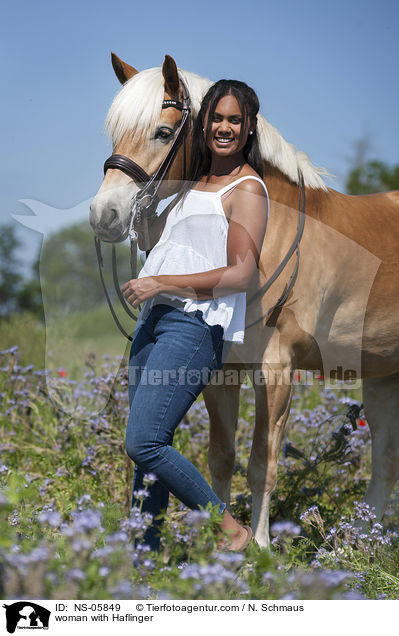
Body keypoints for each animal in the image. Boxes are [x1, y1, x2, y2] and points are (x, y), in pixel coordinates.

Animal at [90, 52, 399, 548]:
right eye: (115, 132)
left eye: (162, 132)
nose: (105, 216)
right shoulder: (221, 371)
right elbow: (221, 458)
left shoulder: (276, 369)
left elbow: (261, 466)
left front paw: (261, 547)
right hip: (384, 374)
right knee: (385, 464)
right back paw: (355, 545)